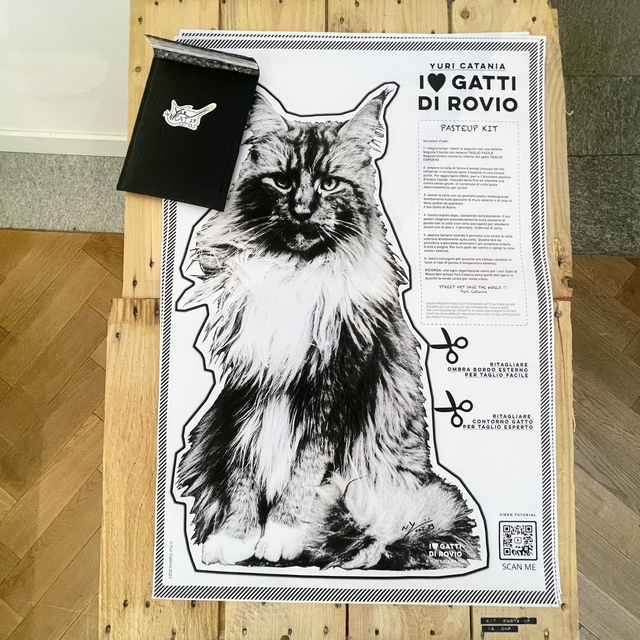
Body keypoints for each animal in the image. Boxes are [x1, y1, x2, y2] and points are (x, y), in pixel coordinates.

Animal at [176, 83, 480, 570]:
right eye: (282, 181)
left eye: (330, 183)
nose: (302, 209)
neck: (293, 274)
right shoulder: (246, 385)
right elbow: (242, 467)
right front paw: (235, 537)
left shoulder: (334, 388)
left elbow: (305, 470)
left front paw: (282, 534)